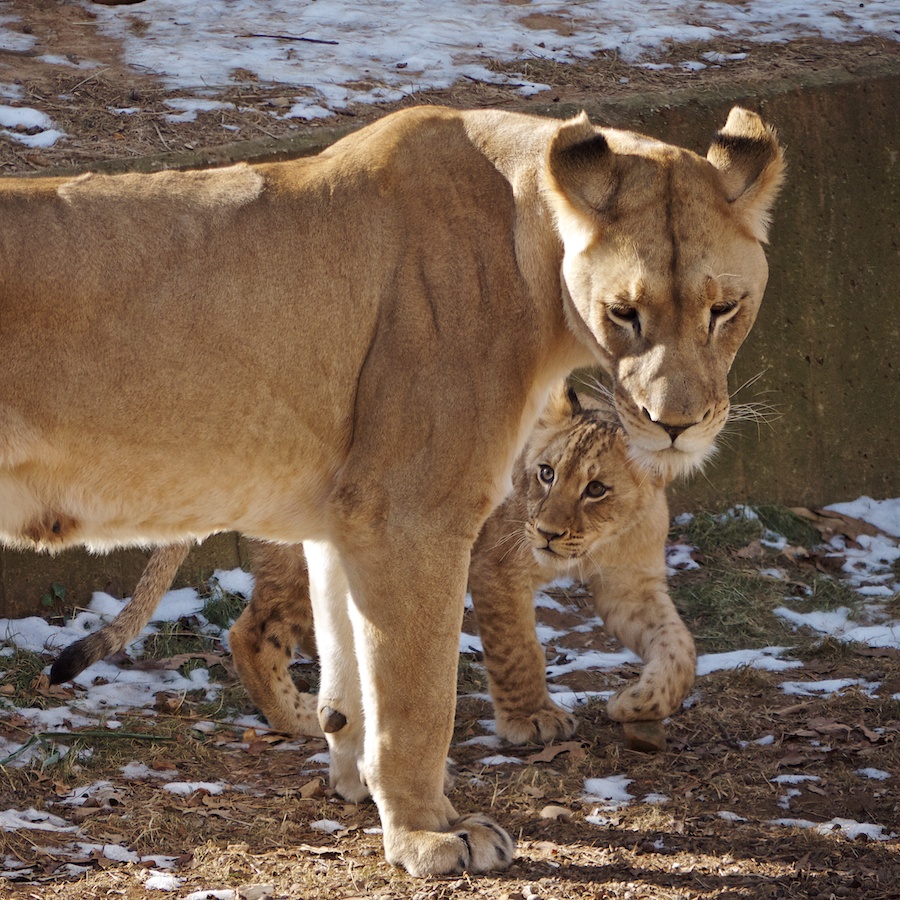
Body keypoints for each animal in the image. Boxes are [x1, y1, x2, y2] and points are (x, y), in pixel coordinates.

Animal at [1, 104, 783, 875]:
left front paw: (353, 777)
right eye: (624, 311)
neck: (531, 260)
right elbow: (417, 698)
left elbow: (352, 673)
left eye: (724, 309)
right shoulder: (412, 518)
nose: (675, 425)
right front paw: (430, 834)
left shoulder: (344, 521)